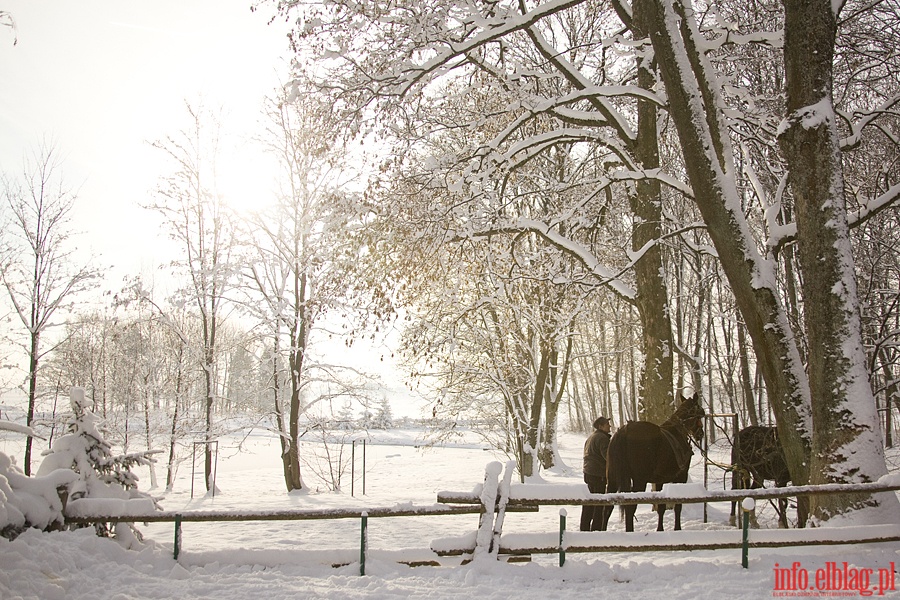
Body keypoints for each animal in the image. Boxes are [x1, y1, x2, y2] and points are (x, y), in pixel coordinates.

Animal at [600, 396, 708, 532]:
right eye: (699, 414)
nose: (701, 434)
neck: (678, 431)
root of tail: (625, 430)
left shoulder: (659, 480)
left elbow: (661, 506)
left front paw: (660, 529)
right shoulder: (681, 477)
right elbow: (678, 505)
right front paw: (677, 528)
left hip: (612, 479)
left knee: (607, 507)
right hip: (639, 480)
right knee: (630, 507)